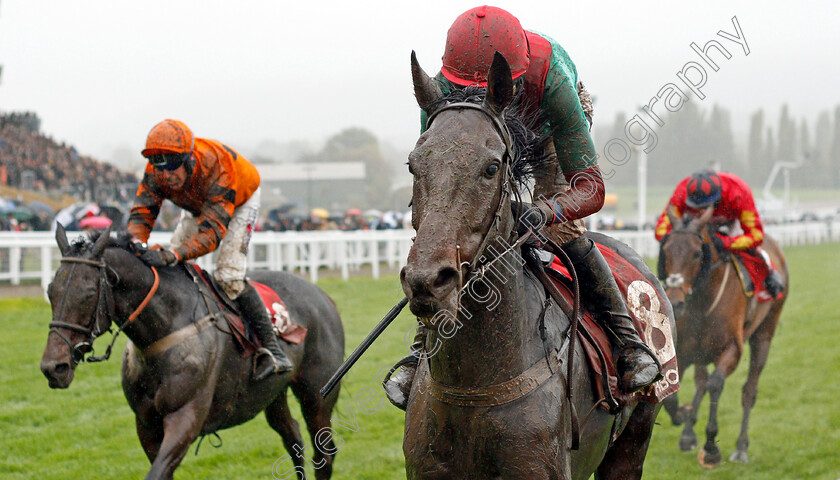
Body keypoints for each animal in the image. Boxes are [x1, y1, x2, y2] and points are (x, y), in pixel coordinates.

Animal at [41, 226, 344, 480]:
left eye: (88, 293)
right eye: (50, 291)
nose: (53, 367)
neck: (166, 326)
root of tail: (323, 296)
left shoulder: (185, 418)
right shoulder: (146, 423)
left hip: (317, 395)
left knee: (324, 454)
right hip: (272, 393)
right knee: (293, 437)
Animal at [400, 50, 676, 478]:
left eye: (491, 167)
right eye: (414, 164)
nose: (428, 282)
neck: (473, 389)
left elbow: (590, 185)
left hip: (634, 438)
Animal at [660, 207, 792, 468]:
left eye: (696, 253)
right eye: (667, 250)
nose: (676, 302)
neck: (702, 302)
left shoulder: (732, 349)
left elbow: (715, 384)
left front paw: (711, 447)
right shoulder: (685, 350)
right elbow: (675, 395)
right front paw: (683, 415)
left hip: (764, 332)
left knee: (749, 389)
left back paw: (741, 447)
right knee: (701, 380)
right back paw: (688, 432)